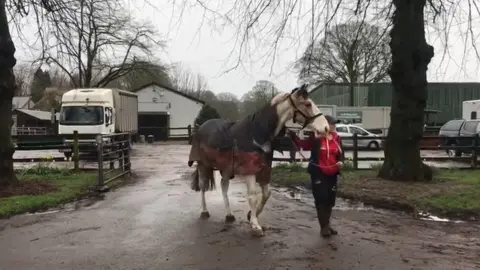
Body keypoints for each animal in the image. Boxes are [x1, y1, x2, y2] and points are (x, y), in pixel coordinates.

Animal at [186, 84, 328, 236]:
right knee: (202, 186)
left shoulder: (265, 170)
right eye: (307, 104)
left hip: (226, 168)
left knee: (224, 187)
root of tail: (202, 127)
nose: (325, 128)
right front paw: (255, 225)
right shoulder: (250, 171)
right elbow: (253, 197)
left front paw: (251, 215)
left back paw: (229, 215)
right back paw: (204, 212)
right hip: (203, 164)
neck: (256, 135)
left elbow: (266, 194)